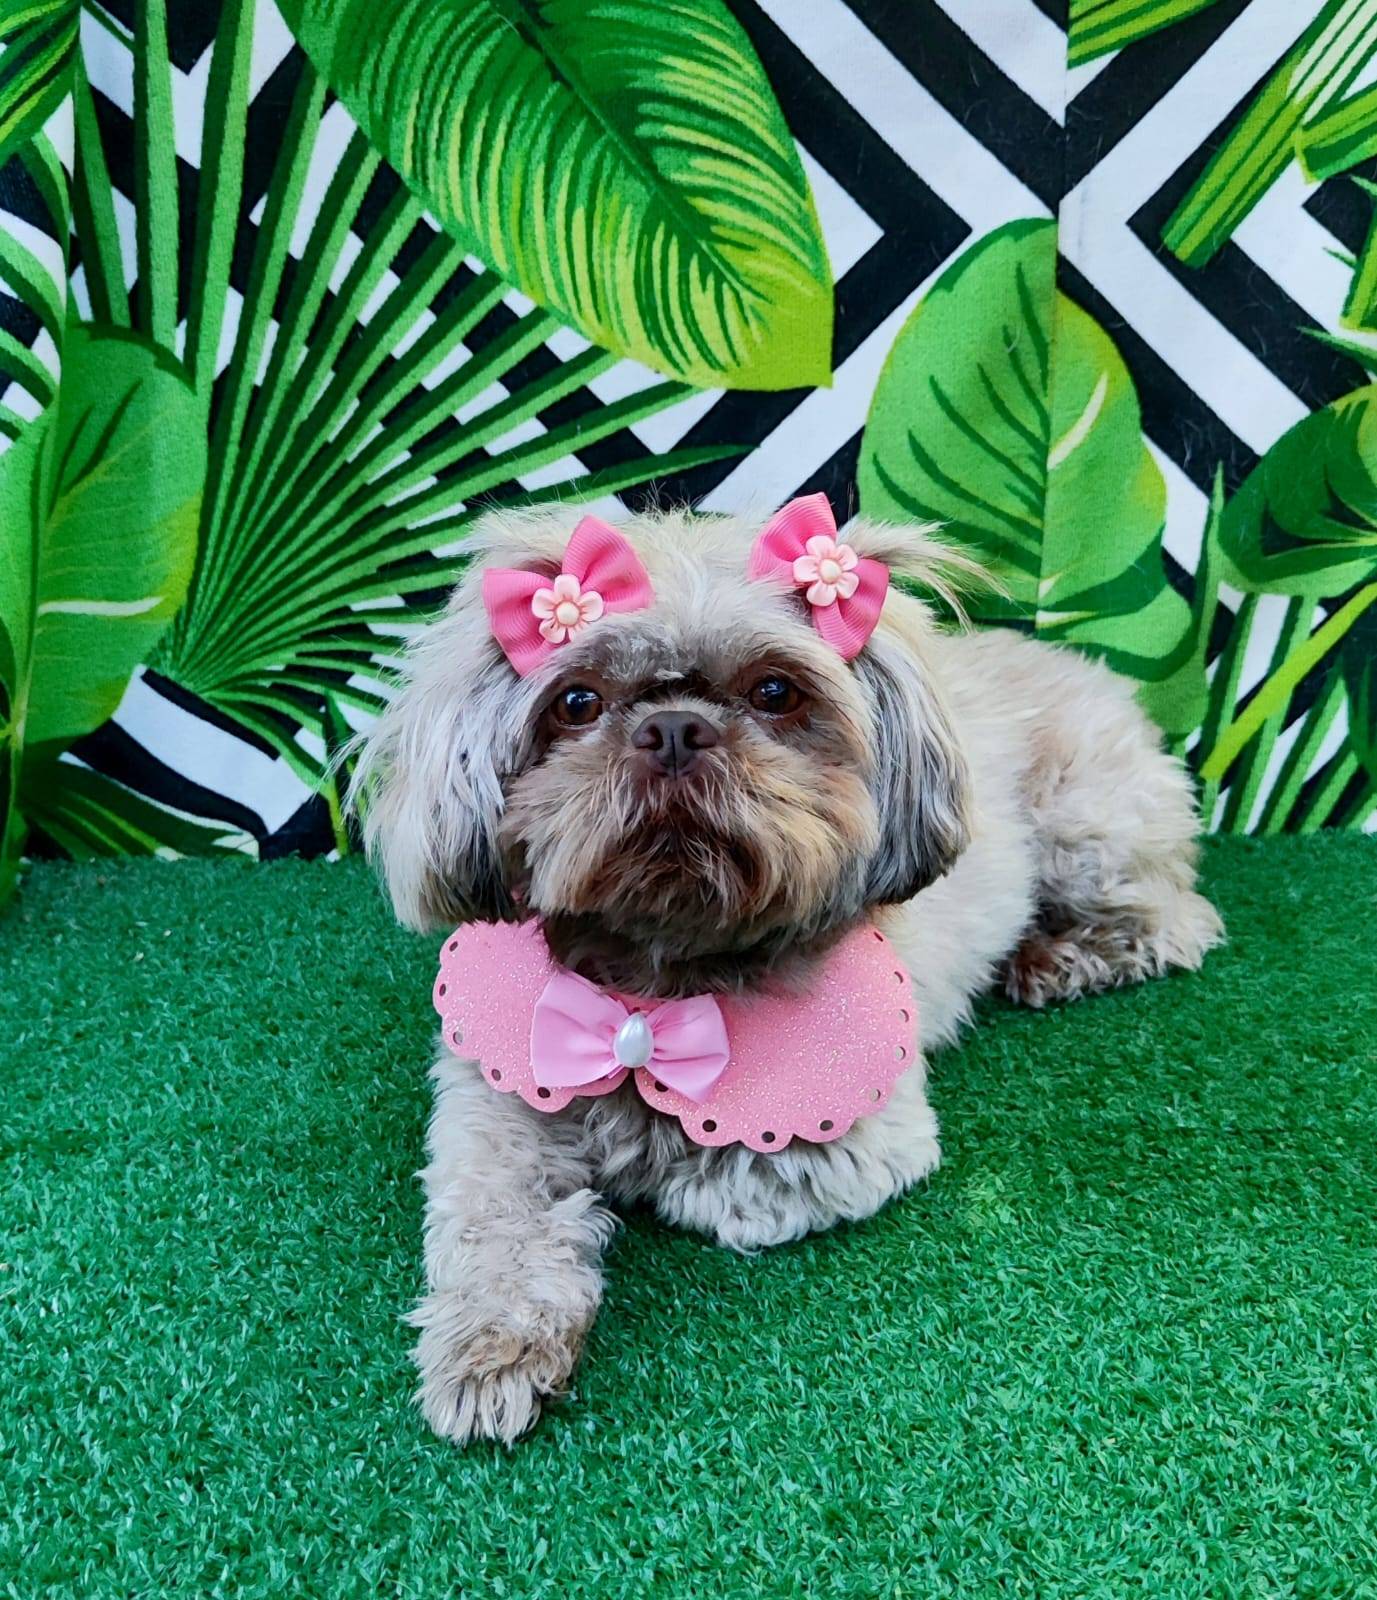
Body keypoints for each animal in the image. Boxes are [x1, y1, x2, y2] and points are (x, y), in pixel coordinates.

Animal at [353, 498, 1223, 1446]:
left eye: (775, 692)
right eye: (577, 702)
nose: (673, 729)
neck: (657, 987)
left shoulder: (848, 1148)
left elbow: (698, 1177)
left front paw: (639, 1159)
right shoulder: (489, 1106)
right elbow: (488, 1224)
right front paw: (490, 1344)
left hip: (1090, 830)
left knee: (1178, 920)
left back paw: (1057, 959)